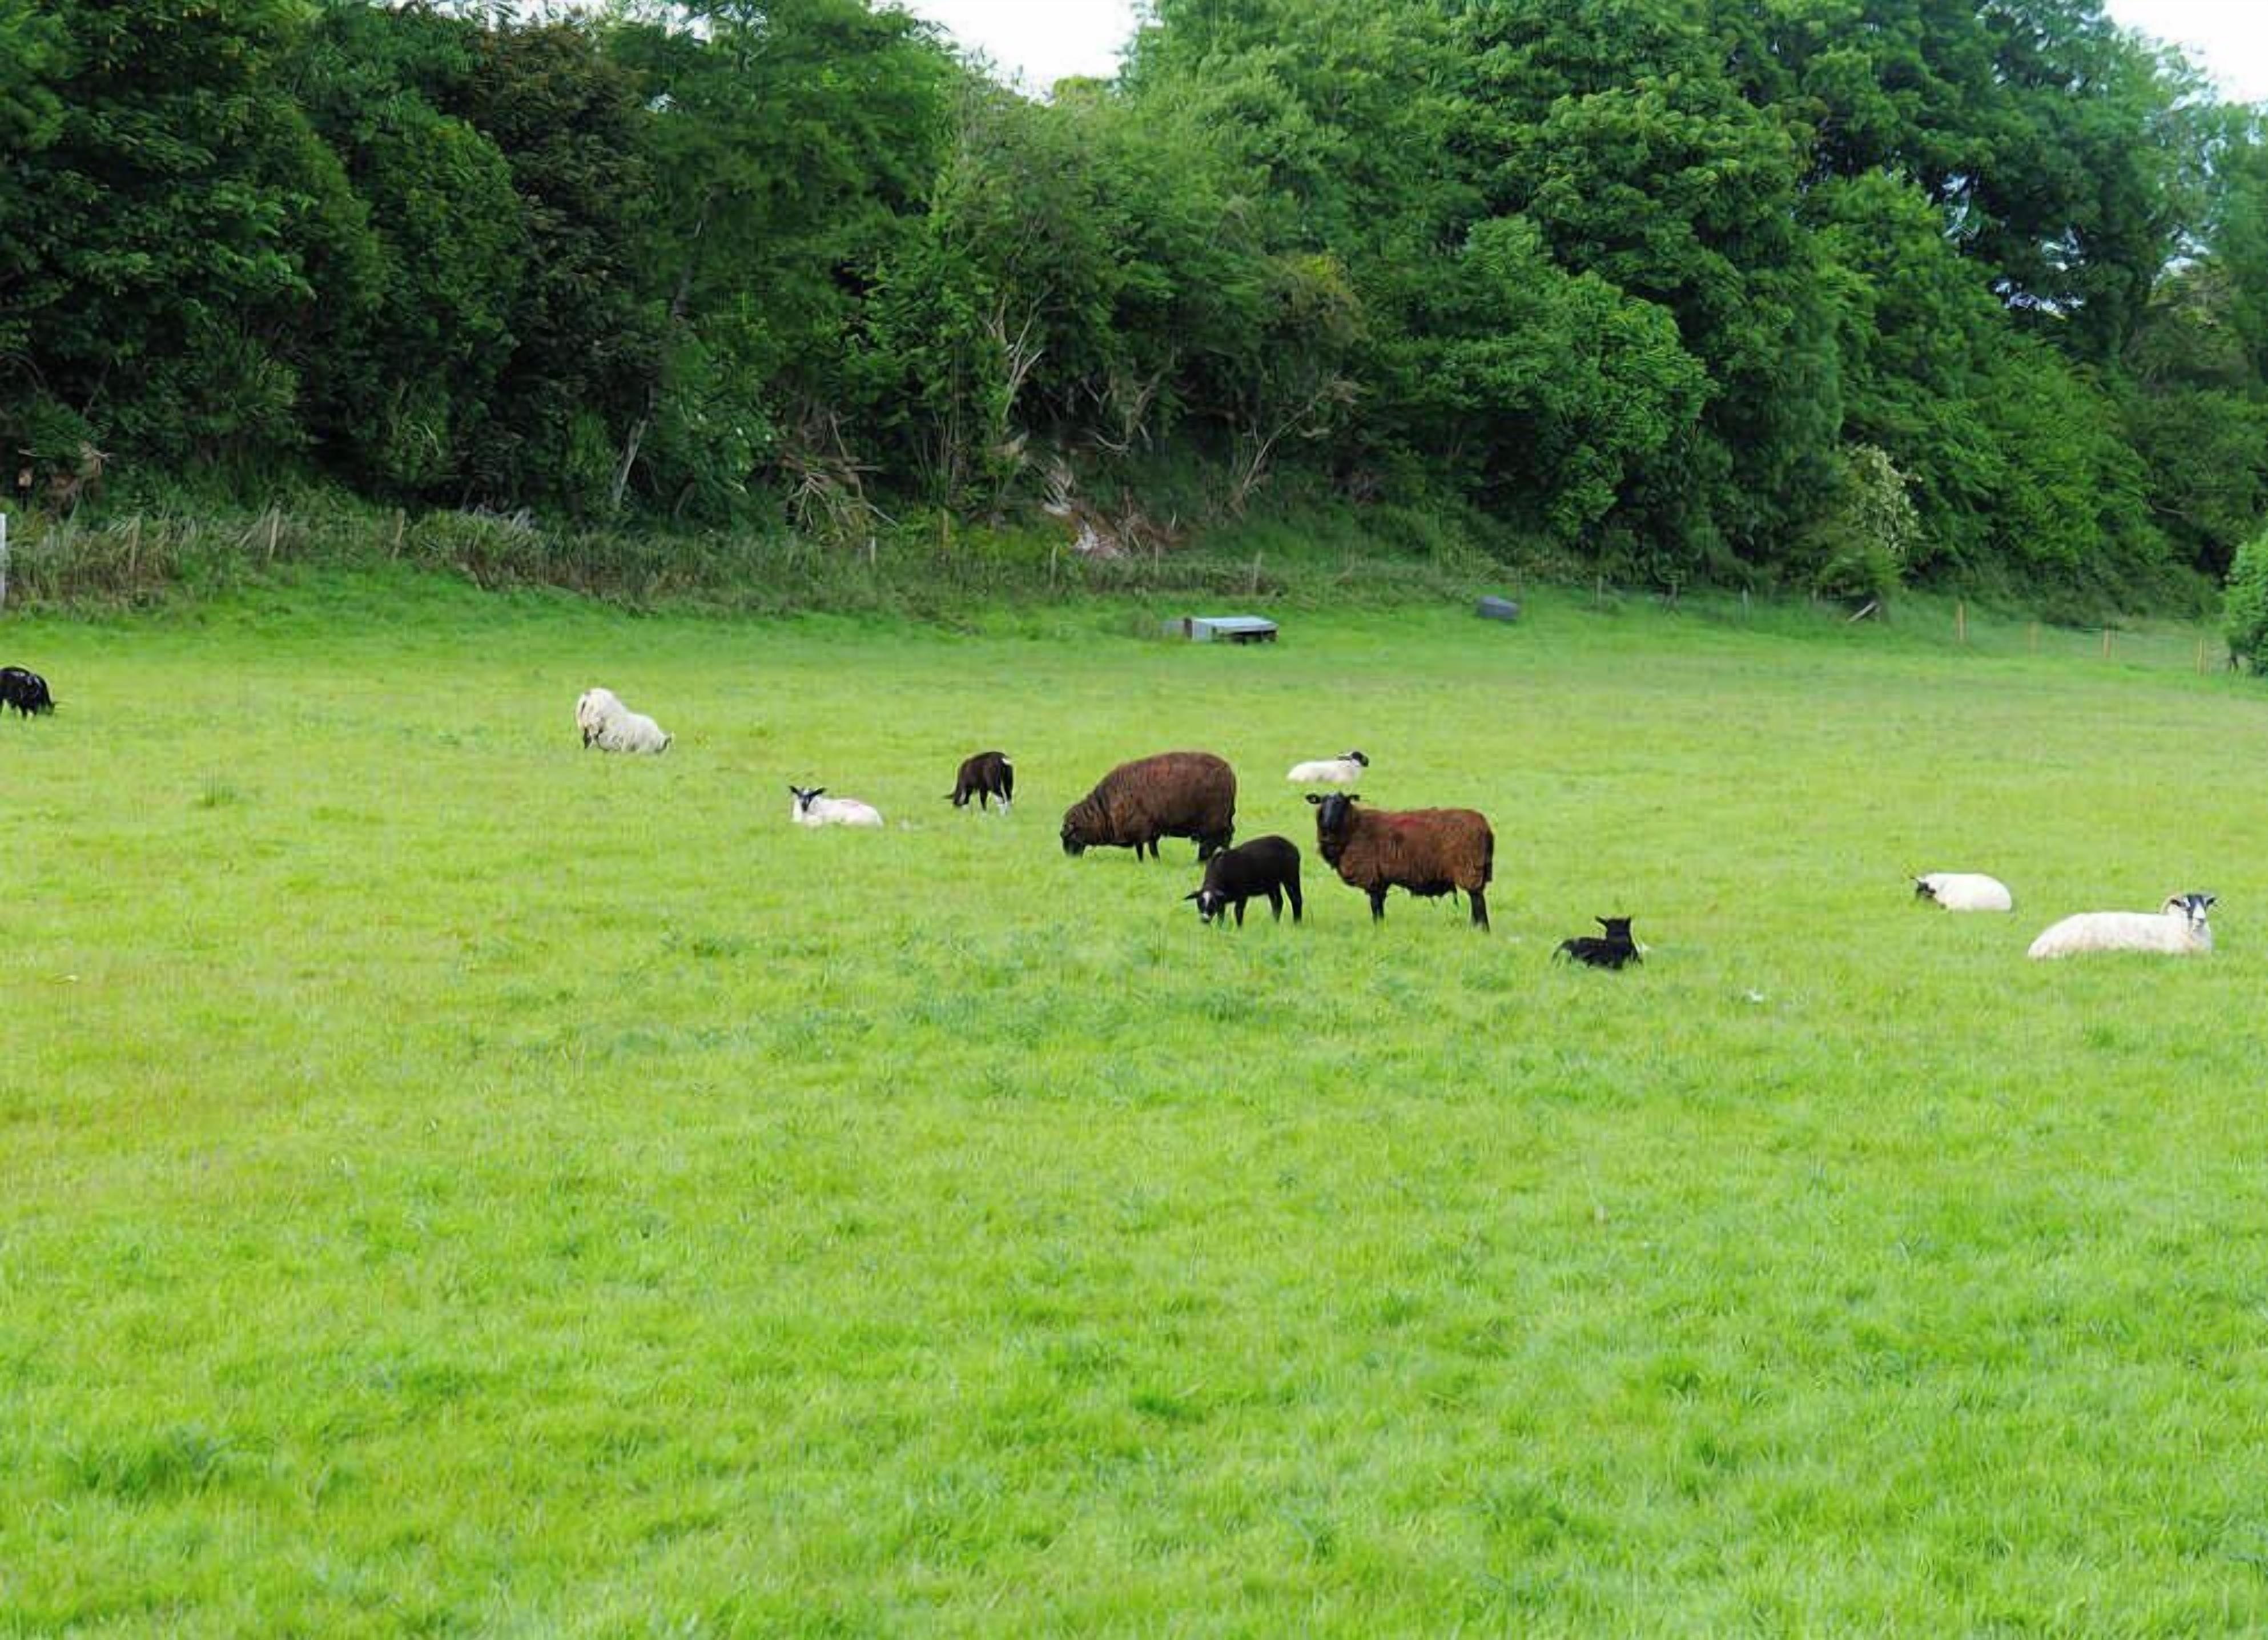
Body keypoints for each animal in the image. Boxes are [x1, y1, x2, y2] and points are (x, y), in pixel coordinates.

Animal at [577, 686, 672, 754]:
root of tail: (588, 697)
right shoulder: (641, 746)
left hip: (587, 724)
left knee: (587, 739)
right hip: (594, 723)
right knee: (592, 738)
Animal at [1061, 751, 1235, 861]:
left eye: (1068, 836)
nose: (1070, 859)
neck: (1104, 810)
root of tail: (1229, 772)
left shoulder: (1144, 830)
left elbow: (1148, 850)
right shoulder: (1149, 832)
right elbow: (1145, 850)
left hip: (1212, 824)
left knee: (1212, 843)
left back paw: (1202, 862)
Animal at [1185, 835, 1303, 926]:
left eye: (1212, 904)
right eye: (1200, 902)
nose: (1204, 920)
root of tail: (1293, 846)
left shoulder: (1242, 895)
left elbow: (1238, 912)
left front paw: (1239, 928)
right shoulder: (1222, 900)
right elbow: (1221, 916)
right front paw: (1220, 929)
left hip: (1291, 877)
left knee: (1296, 900)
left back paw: (1297, 923)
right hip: (1273, 884)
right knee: (1278, 903)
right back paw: (1275, 924)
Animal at [1307, 791, 1494, 930]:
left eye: (1342, 803)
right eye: (1322, 802)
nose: (1328, 822)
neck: (1354, 828)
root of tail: (1485, 826)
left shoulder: (1372, 876)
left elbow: (1376, 907)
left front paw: (1378, 928)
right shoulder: (1380, 879)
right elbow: (1379, 906)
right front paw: (1381, 926)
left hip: (1470, 868)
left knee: (1478, 901)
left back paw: (1481, 929)